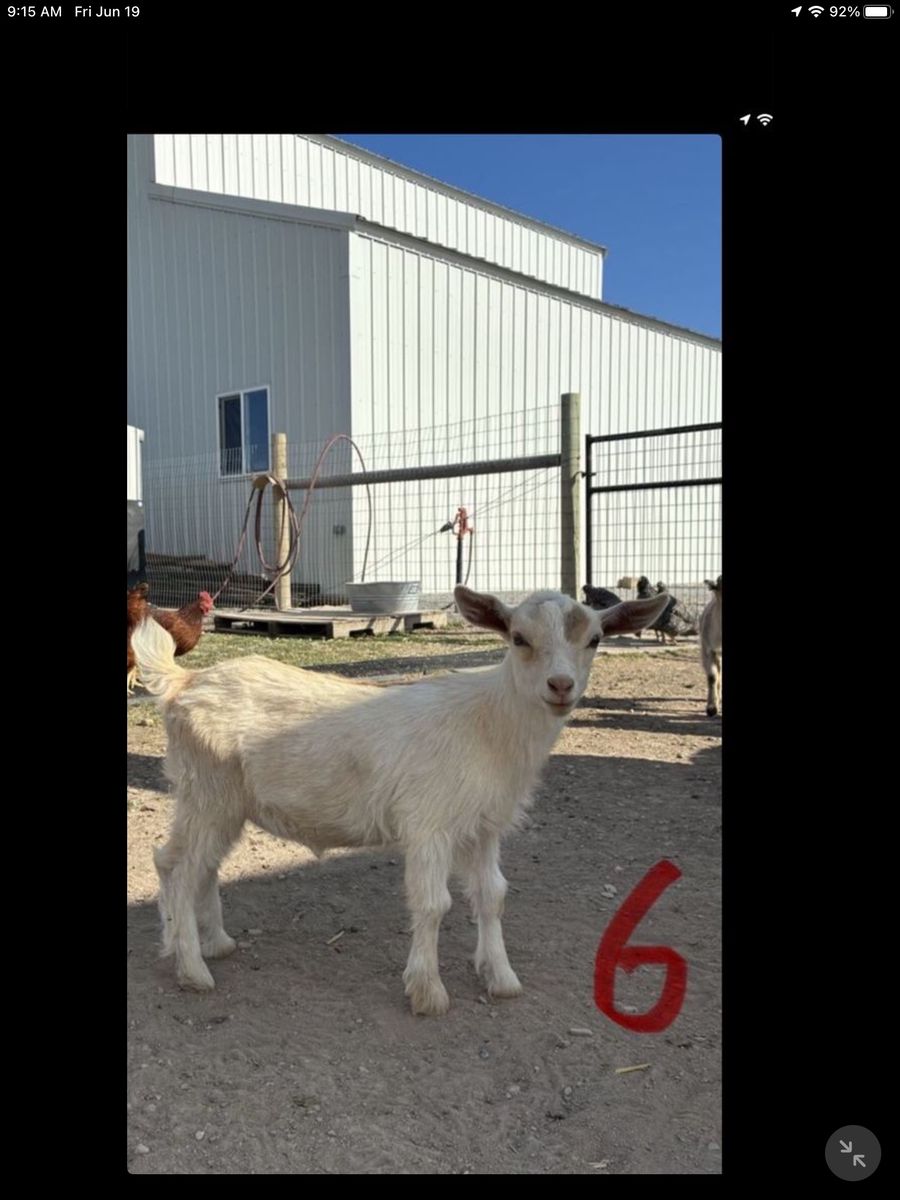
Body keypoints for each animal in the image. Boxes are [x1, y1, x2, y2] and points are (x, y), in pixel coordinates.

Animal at [130, 585, 671, 1015]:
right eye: (518, 638)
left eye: (594, 639)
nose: (561, 686)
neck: (488, 724)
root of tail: (182, 682)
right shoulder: (429, 822)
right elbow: (433, 903)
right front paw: (428, 993)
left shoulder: (484, 826)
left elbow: (492, 895)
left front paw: (501, 978)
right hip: (207, 790)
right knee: (176, 865)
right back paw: (192, 968)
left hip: (223, 800)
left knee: (199, 865)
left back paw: (213, 943)